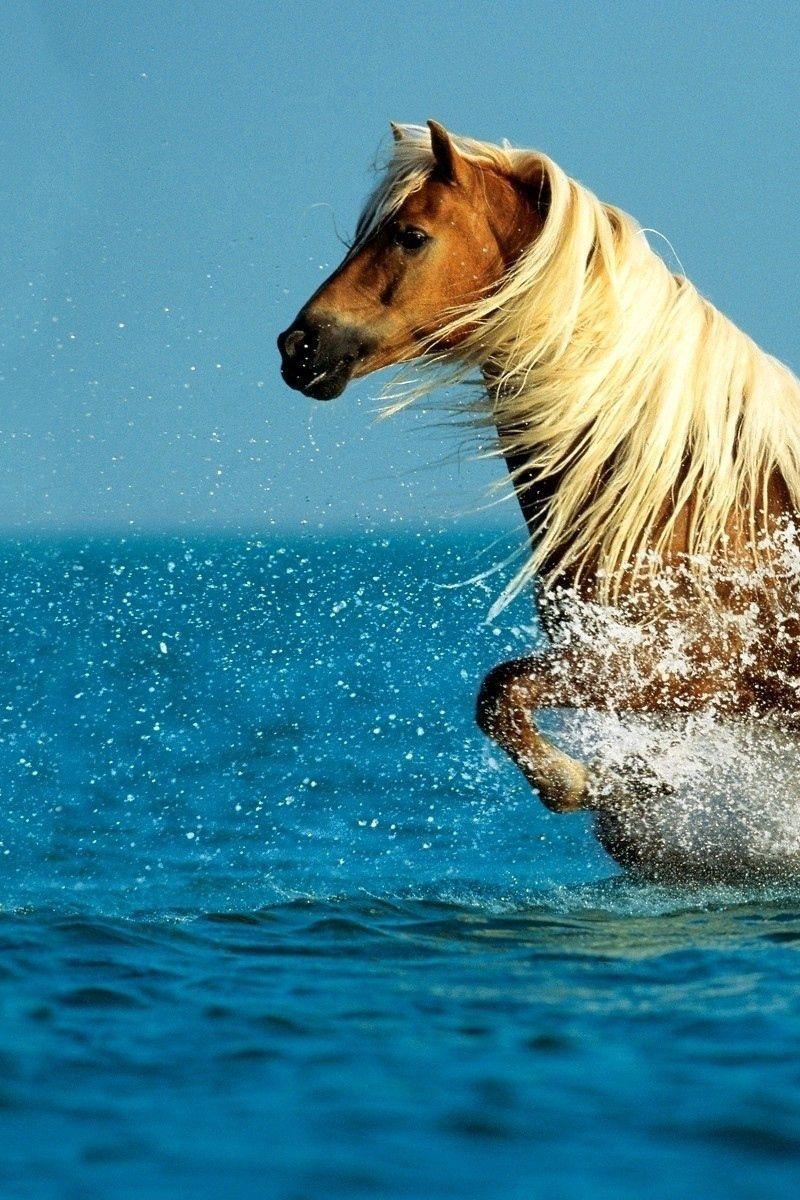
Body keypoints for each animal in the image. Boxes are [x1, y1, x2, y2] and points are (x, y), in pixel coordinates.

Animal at [278, 120, 800, 881]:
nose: (298, 345)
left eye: (409, 235)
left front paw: (576, 780)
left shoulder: (692, 670)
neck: (693, 499)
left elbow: (502, 690)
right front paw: (624, 781)